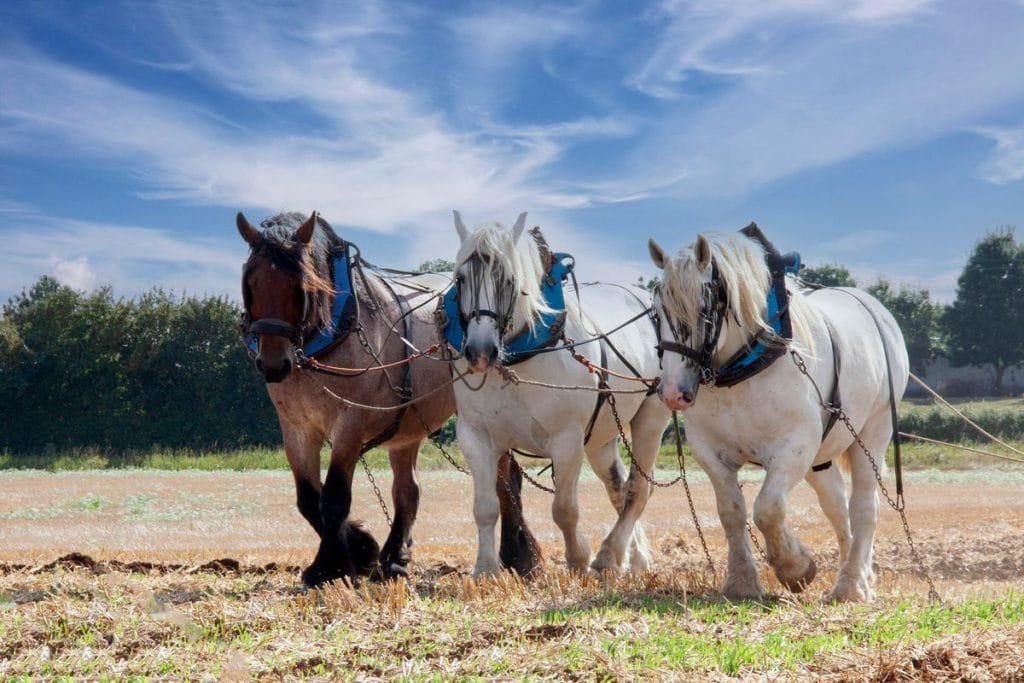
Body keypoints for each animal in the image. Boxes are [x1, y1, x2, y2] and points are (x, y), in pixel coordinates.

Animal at [237, 210, 542, 586]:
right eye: (250, 284)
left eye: (301, 286)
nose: (273, 364)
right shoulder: (296, 429)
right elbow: (308, 498)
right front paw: (360, 549)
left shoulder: (350, 424)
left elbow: (334, 497)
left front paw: (331, 566)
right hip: (407, 428)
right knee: (407, 490)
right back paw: (395, 557)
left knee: (504, 481)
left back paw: (518, 555)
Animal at [446, 211, 671, 577]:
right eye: (461, 279)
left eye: (508, 278)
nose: (480, 352)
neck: (519, 357)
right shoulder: (475, 437)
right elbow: (485, 507)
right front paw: (485, 570)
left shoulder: (567, 439)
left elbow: (564, 508)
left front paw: (578, 559)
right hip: (601, 436)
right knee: (619, 488)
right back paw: (634, 558)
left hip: (651, 418)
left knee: (638, 490)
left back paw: (610, 555)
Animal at [647, 225, 909, 602]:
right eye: (655, 312)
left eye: (704, 308)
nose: (672, 392)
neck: (741, 370)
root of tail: (877, 310)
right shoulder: (710, 451)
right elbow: (732, 512)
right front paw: (741, 583)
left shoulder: (795, 445)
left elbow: (768, 509)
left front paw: (795, 568)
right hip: (822, 455)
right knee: (836, 505)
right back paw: (859, 573)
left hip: (873, 433)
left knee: (864, 506)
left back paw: (851, 586)